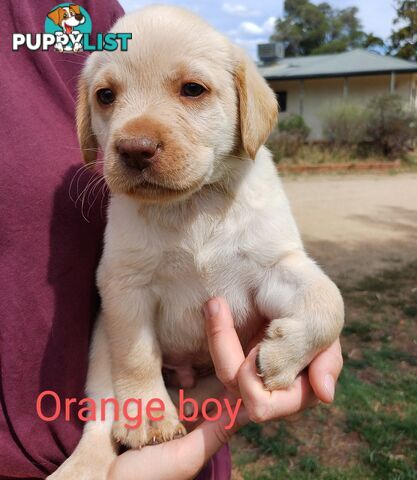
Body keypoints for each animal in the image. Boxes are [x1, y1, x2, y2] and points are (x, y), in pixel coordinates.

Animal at [48, 4, 342, 480]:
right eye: (105, 96)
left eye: (192, 90)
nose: (134, 149)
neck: (193, 206)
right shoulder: (124, 285)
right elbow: (137, 356)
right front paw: (148, 416)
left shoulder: (275, 264)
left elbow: (329, 301)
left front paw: (284, 354)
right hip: (99, 350)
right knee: (99, 421)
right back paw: (83, 465)